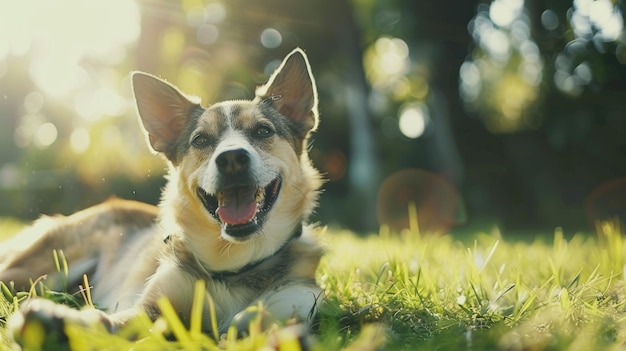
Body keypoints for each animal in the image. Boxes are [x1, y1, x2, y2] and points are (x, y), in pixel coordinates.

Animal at [0, 47, 322, 346]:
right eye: (201, 140)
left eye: (263, 131)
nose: (232, 159)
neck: (234, 266)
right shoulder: (149, 311)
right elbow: (110, 324)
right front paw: (60, 325)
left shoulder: (292, 306)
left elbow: (269, 325)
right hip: (40, 268)